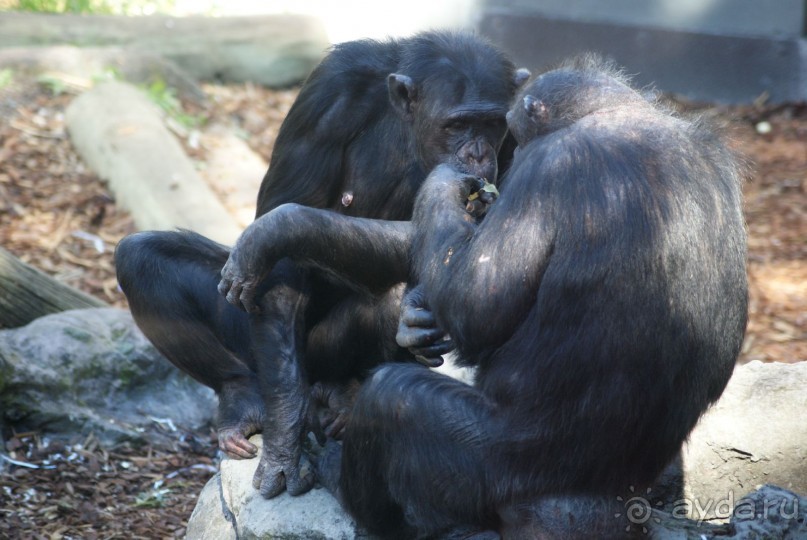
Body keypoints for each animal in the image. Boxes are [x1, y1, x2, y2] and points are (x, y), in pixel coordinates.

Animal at [117, 31, 528, 498]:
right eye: (456, 125)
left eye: (491, 124)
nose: (477, 153)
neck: (407, 126)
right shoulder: (327, 97)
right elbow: (278, 260)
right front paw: (283, 445)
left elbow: (489, 259)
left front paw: (284, 227)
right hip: (247, 337)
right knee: (142, 260)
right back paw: (245, 401)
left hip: (323, 357)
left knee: (392, 303)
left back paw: (344, 397)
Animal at [219, 57, 752, 536]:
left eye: (503, 129)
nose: (481, 156)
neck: (628, 121)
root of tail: (620, 490)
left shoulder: (544, 169)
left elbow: (479, 301)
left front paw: (282, 229)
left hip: (503, 466)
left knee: (392, 398)